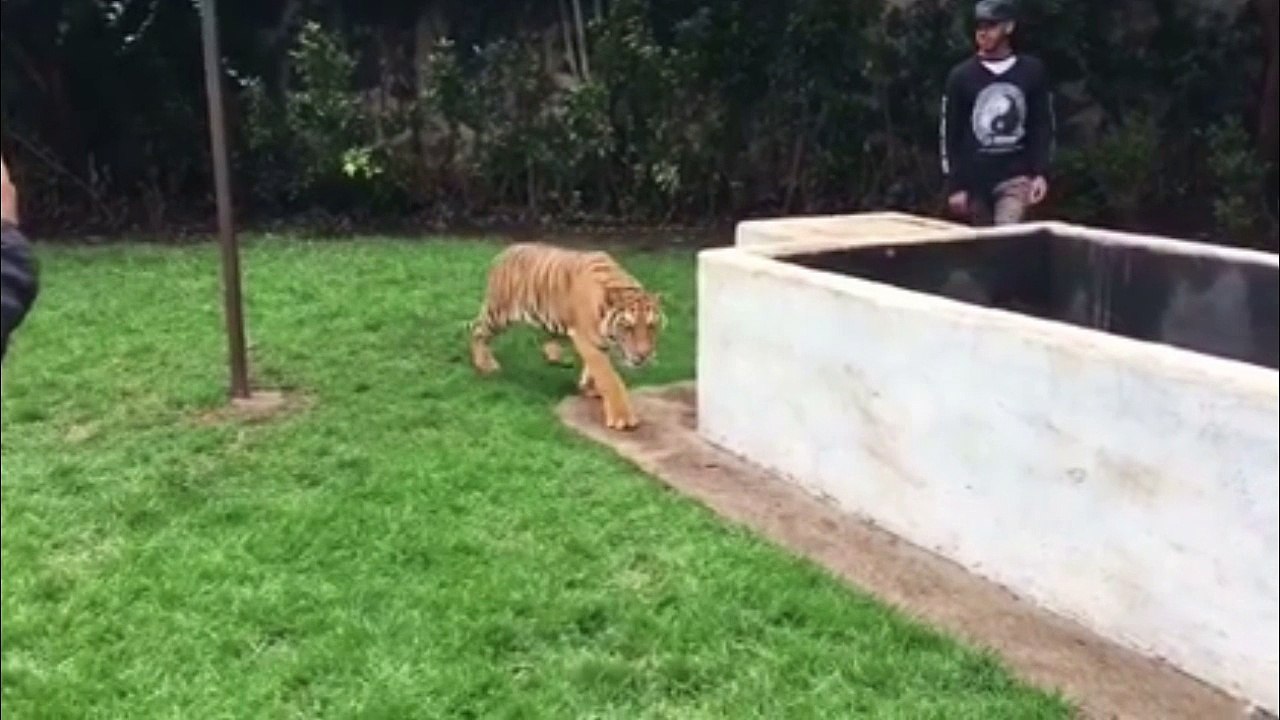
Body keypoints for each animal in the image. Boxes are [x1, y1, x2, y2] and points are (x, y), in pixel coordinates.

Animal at [468, 242, 665, 431]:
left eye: (651, 326)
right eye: (628, 327)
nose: (644, 355)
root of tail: (505, 252)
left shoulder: (598, 343)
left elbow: (593, 371)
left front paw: (589, 388)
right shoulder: (587, 340)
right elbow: (608, 377)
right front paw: (622, 418)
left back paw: (555, 356)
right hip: (499, 313)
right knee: (477, 329)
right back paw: (485, 364)